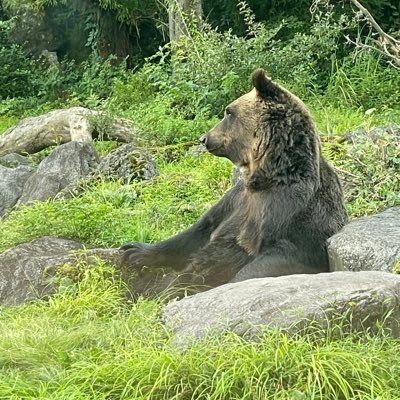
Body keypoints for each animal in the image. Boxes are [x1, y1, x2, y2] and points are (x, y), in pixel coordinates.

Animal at [120, 69, 348, 294]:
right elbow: (199, 231)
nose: (204, 138)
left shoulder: (290, 209)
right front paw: (135, 250)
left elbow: (277, 256)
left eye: (228, 112)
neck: (266, 175)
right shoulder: (237, 199)